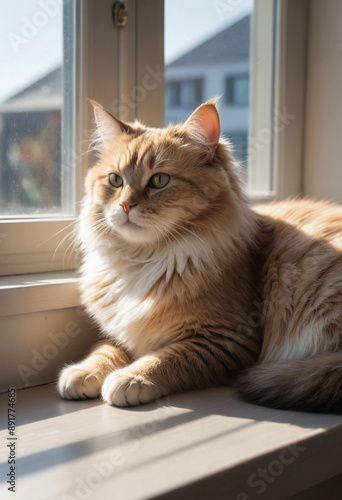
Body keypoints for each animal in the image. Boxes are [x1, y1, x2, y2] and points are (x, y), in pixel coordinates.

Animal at [57, 99, 342, 412]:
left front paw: (131, 378)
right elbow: (104, 351)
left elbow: (165, 359)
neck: (143, 260)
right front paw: (82, 373)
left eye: (159, 180)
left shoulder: (225, 338)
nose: (125, 205)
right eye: (115, 180)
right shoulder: (122, 332)